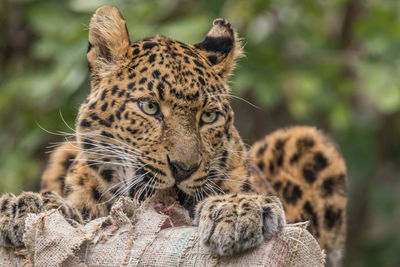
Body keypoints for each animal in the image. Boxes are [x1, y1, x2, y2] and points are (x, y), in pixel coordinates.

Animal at [0, 5, 346, 266]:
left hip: (307, 140)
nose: (184, 168)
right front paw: (25, 206)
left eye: (208, 116)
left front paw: (237, 209)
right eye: (150, 107)